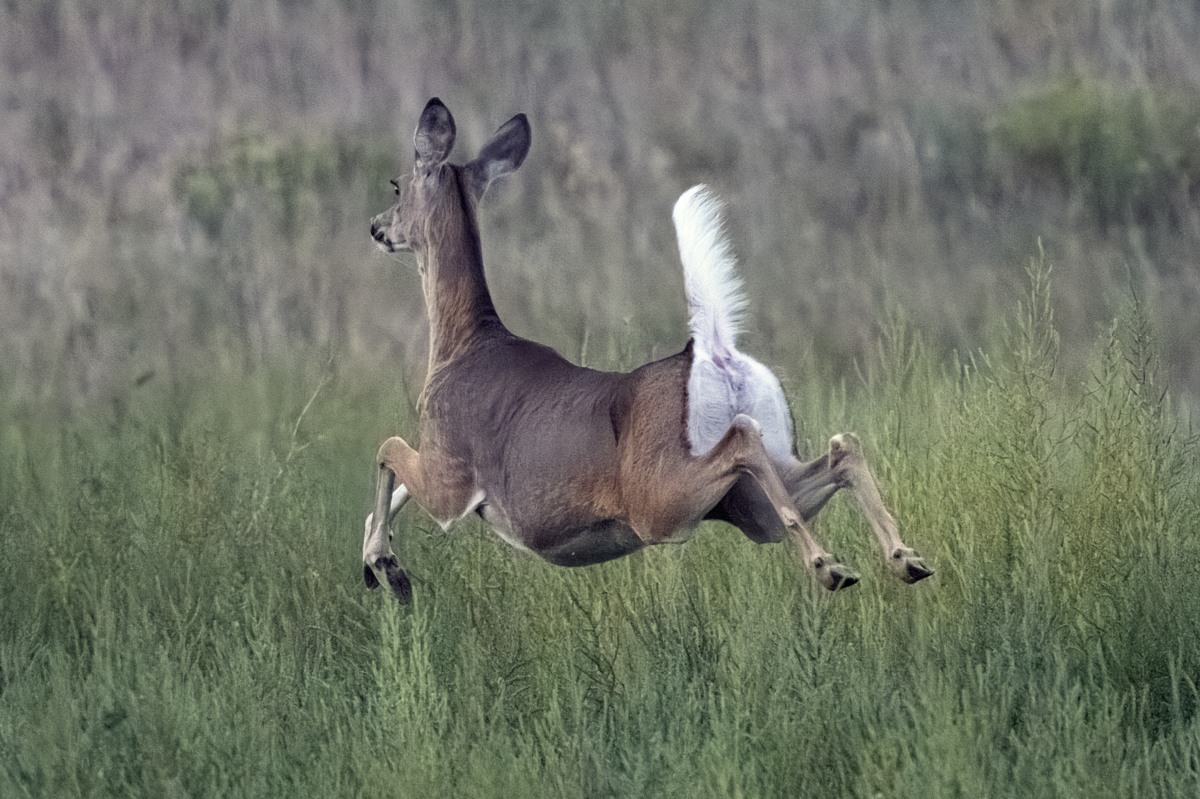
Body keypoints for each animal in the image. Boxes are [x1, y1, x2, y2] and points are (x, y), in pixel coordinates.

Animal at [360, 96, 931, 599]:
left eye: (396, 185)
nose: (376, 227)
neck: (462, 344)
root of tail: (713, 351)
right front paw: (377, 562)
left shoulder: (450, 477)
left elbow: (386, 448)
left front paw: (386, 567)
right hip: (749, 504)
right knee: (840, 448)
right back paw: (903, 559)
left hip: (659, 500)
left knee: (745, 441)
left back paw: (829, 566)